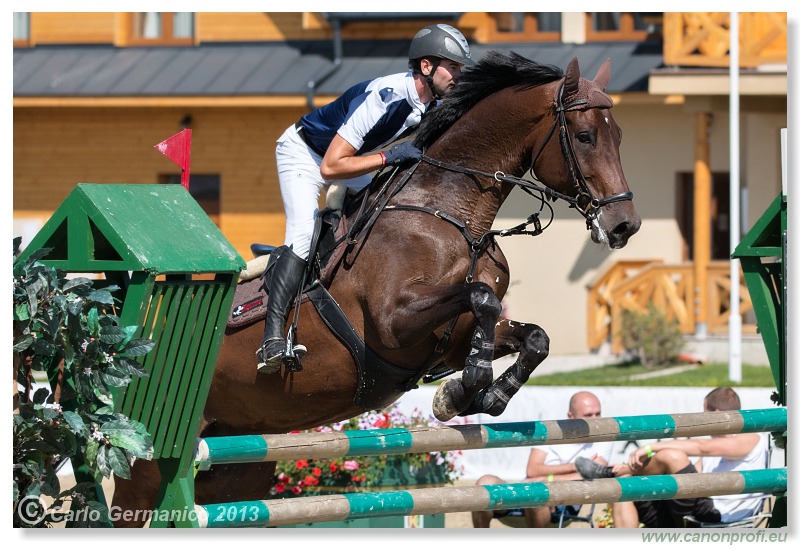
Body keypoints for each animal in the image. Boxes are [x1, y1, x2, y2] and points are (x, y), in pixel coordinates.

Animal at [112, 51, 640, 528]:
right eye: (585, 136)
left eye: (620, 135)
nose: (625, 225)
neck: (453, 215)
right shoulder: (394, 324)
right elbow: (481, 298)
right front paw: (468, 384)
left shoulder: (451, 336)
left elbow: (533, 336)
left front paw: (479, 396)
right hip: (151, 460)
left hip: (239, 464)